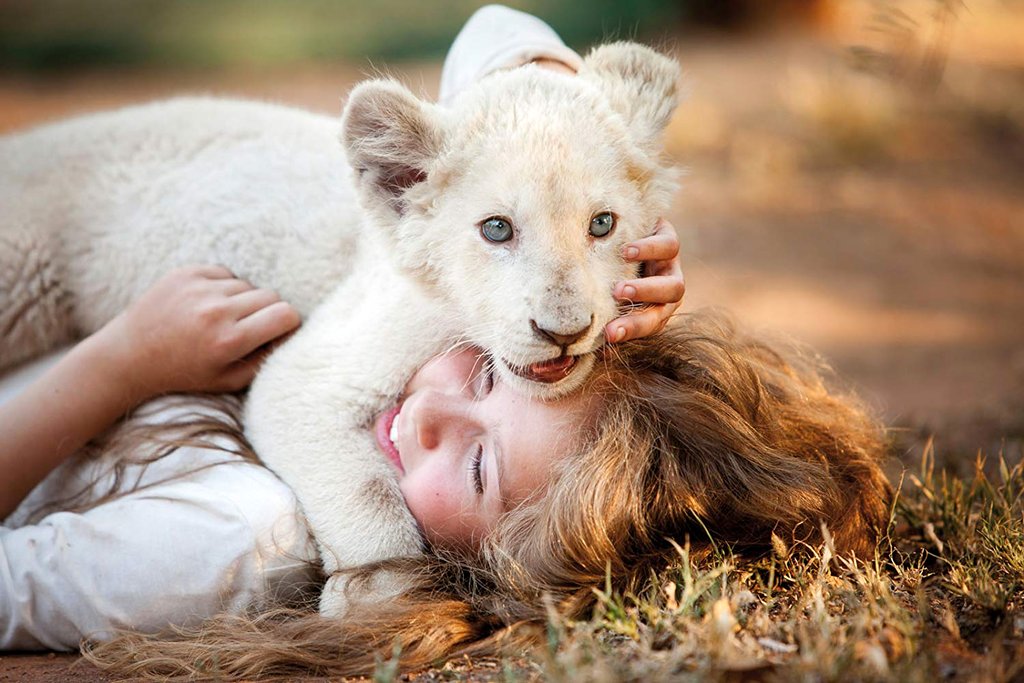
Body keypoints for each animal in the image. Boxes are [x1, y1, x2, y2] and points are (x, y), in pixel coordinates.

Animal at [0, 43, 680, 616]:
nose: (564, 330)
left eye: (601, 224)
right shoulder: (313, 366)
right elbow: (364, 488)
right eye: (497, 229)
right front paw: (379, 584)